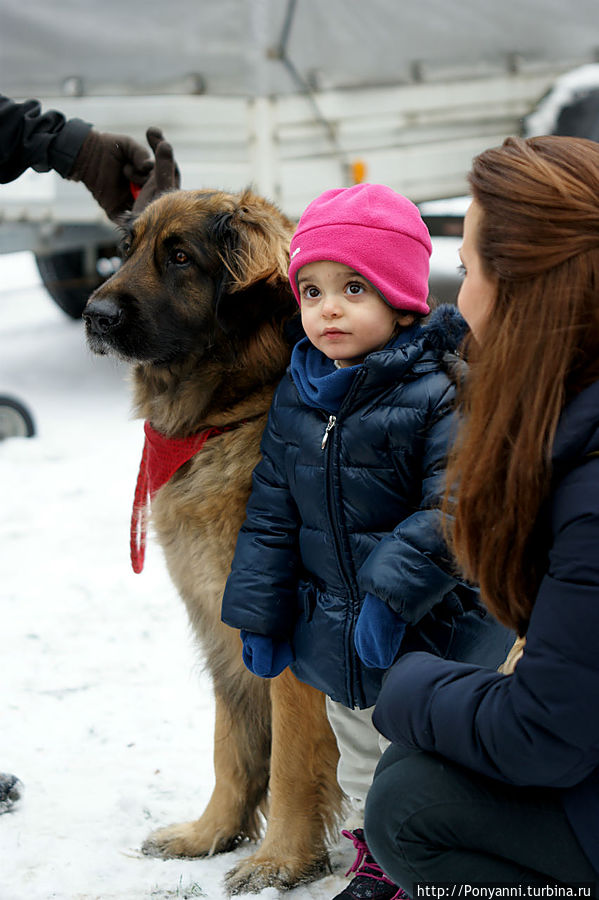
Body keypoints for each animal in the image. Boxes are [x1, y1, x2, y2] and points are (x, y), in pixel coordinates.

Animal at [84, 188, 342, 892]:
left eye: (180, 257)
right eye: (127, 249)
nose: (93, 316)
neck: (233, 414)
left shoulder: (285, 644)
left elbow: (291, 759)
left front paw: (280, 861)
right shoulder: (219, 624)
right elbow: (233, 746)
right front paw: (210, 834)